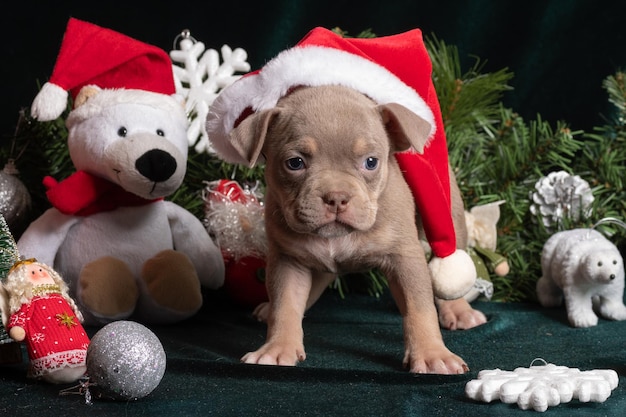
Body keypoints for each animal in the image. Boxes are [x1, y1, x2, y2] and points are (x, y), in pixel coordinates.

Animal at [230, 85, 472, 374]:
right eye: (295, 163)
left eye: (371, 162)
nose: (336, 197)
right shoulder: (288, 261)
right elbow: (285, 305)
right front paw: (277, 348)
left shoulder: (404, 258)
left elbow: (419, 308)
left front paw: (432, 354)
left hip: (449, 214)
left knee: (449, 253)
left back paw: (457, 309)